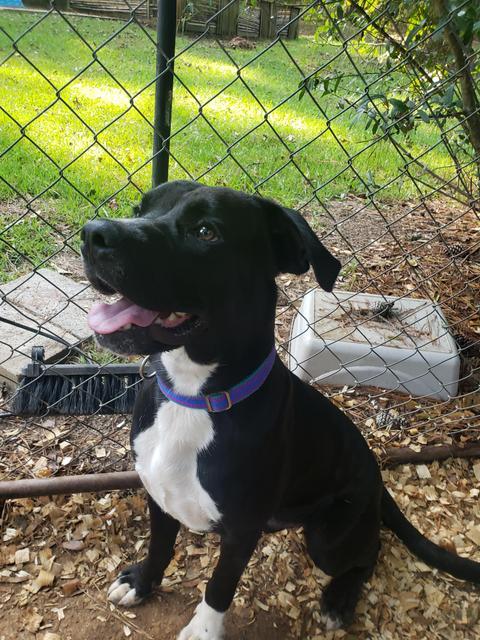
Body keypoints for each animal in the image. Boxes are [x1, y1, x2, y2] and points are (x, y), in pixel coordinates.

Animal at [82, 181, 480, 640]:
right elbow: (160, 546)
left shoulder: (241, 532)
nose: (92, 234)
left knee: (371, 552)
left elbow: (219, 587)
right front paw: (142, 582)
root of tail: (377, 481)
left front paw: (203, 630)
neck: (194, 396)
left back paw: (339, 600)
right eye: (139, 210)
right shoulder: (160, 497)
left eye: (205, 231)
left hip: (329, 538)